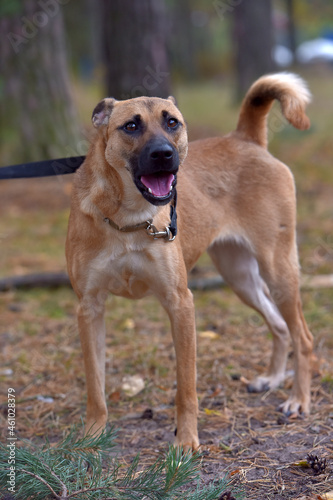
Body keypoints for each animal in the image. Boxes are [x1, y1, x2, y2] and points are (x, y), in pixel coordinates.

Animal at [65, 72, 314, 452]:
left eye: (173, 122)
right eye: (131, 125)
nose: (164, 154)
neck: (128, 220)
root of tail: (245, 138)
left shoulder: (180, 303)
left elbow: (186, 388)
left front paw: (186, 443)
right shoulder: (89, 308)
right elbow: (95, 385)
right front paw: (93, 434)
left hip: (278, 270)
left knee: (302, 336)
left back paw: (298, 399)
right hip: (240, 276)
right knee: (280, 326)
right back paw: (271, 379)